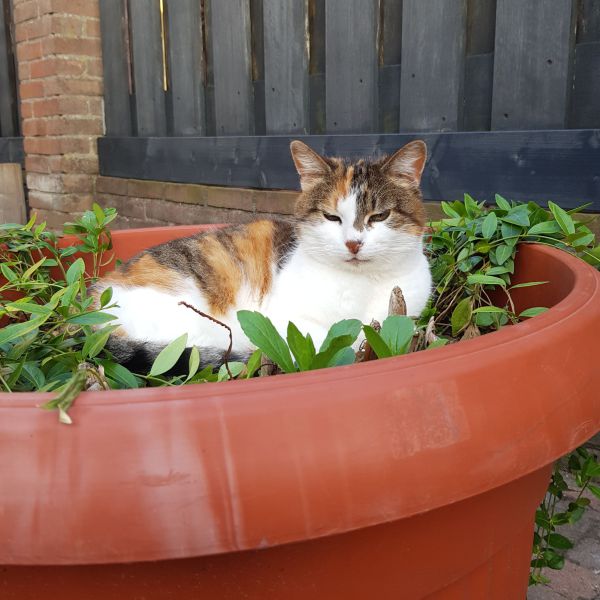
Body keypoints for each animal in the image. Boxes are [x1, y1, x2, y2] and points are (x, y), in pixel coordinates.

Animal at [92, 142, 432, 376]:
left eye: (380, 216)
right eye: (331, 217)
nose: (353, 243)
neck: (361, 284)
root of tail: (95, 303)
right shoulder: (286, 321)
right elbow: (334, 339)